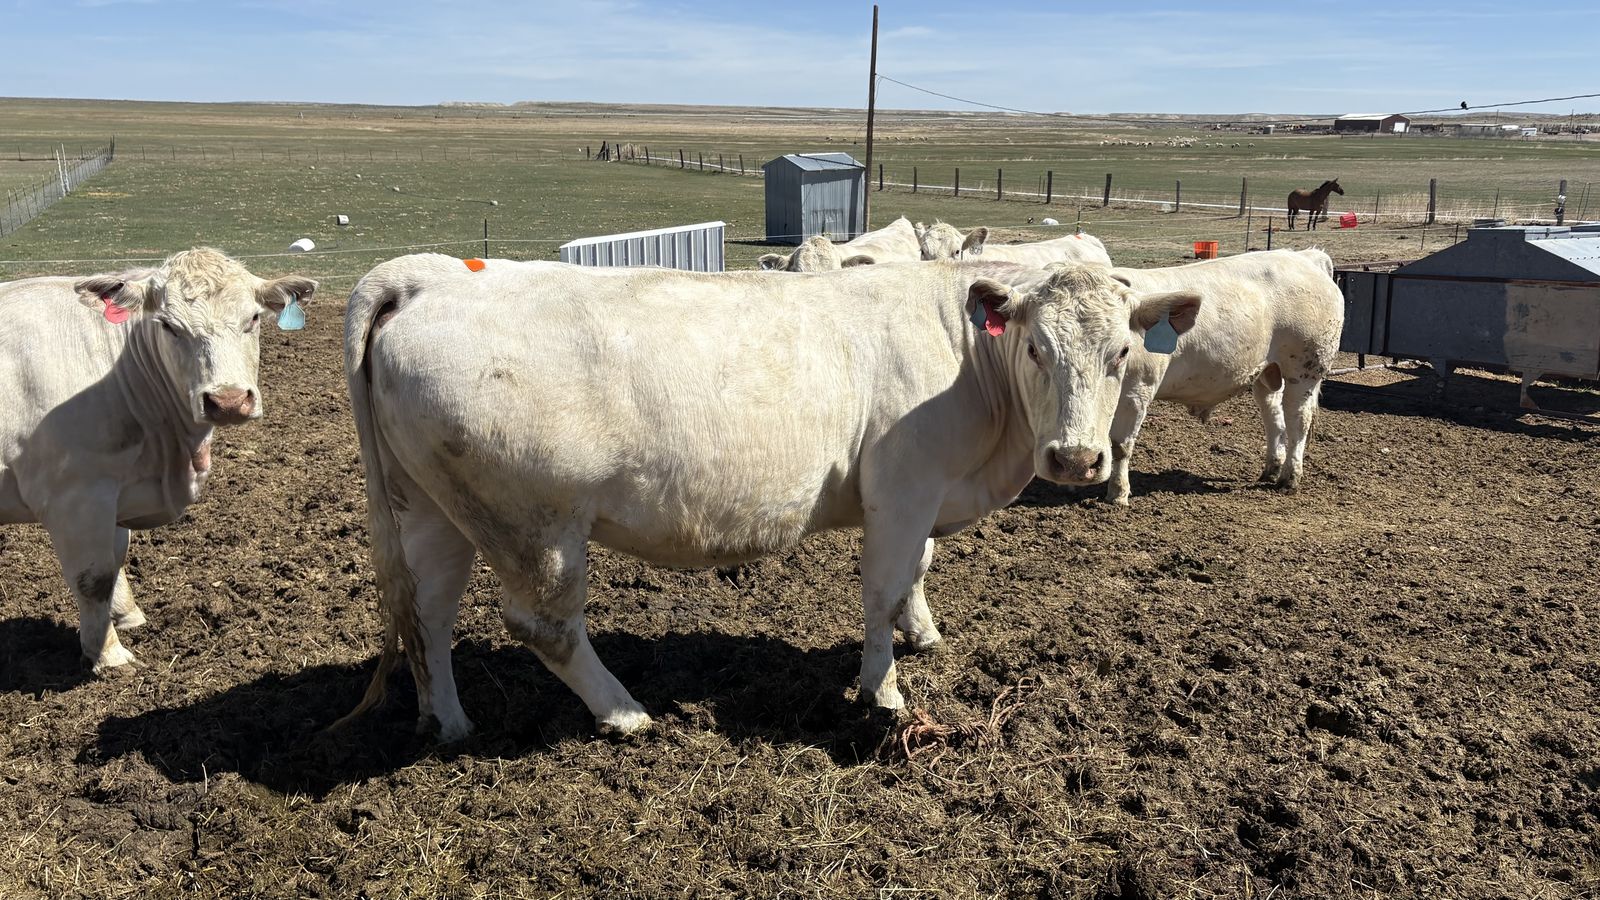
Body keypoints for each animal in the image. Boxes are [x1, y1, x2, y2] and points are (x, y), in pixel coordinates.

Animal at [0, 249, 316, 673]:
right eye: (168, 326)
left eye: (252, 318)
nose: (229, 401)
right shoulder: (76, 495)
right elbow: (93, 577)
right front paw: (107, 654)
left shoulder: (116, 487)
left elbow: (116, 558)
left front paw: (126, 615)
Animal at [335, 255, 1201, 741]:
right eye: (1035, 346)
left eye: (1123, 349)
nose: (1076, 457)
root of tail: (426, 278)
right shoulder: (902, 486)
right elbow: (885, 587)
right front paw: (883, 691)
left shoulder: (926, 496)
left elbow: (918, 572)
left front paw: (924, 634)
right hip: (535, 522)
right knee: (542, 624)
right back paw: (624, 713)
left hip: (436, 506)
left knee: (428, 611)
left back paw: (448, 722)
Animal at [1092, 248, 1344, 504]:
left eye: (1121, 349)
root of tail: (1305, 256)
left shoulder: (1137, 389)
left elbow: (1120, 445)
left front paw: (1117, 494)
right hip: (1267, 372)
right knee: (1273, 416)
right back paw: (1271, 470)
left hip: (1305, 370)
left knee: (1298, 420)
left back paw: (1289, 479)